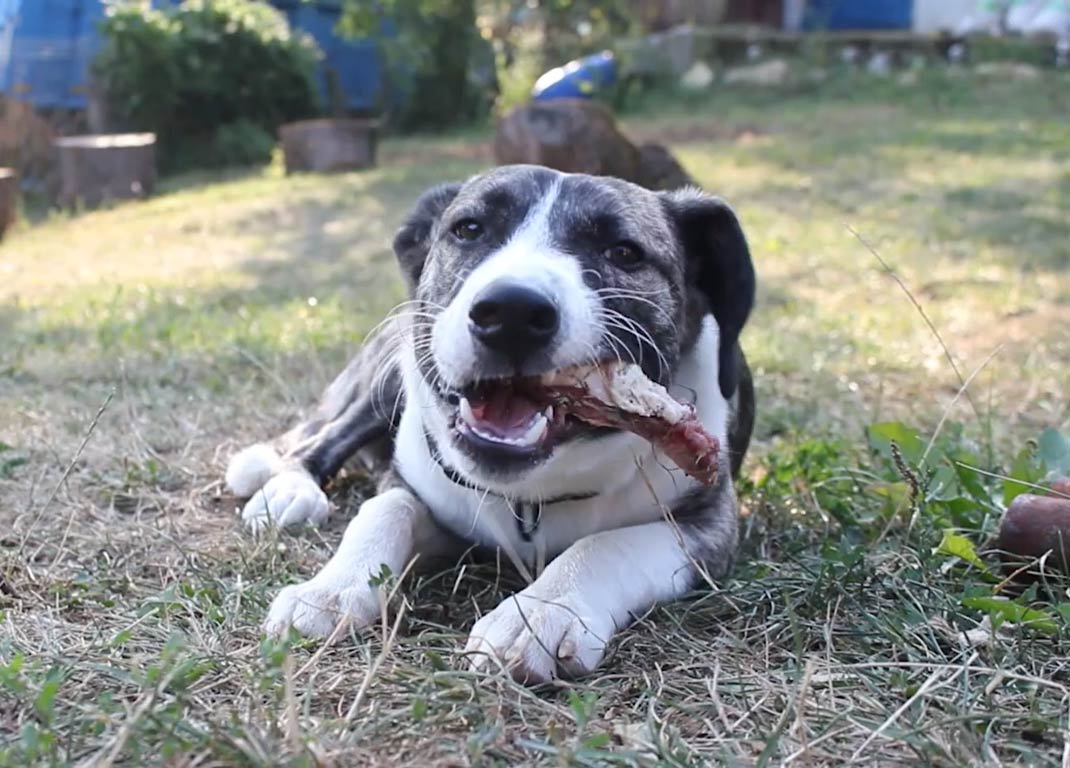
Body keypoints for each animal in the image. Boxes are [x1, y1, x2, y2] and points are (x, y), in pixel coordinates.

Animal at [224, 165, 753, 684]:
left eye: (624, 252)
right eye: (469, 229)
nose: (513, 311)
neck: (533, 496)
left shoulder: (711, 526)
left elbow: (606, 543)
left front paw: (539, 612)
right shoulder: (424, 491)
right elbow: (384, 509)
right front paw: (331, 589)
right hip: (384, 374)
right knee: (326, 435)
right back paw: (290, 485)